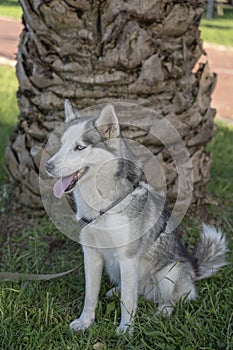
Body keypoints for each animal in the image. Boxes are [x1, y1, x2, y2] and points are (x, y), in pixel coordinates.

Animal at [45, 100, 228, 334]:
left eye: (80, 147)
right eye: (61, 145)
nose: (47, 166)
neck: (104, 207)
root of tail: (193, 270)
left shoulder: (127, 258)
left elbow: (128, 301)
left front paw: (126, 329)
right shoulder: (92, 255)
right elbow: (90, 297)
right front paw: (85, 323)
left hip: (168, 273)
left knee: (172, 297)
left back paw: (164, 310)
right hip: (116, 269)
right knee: (135, 290)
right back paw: (116, 291)